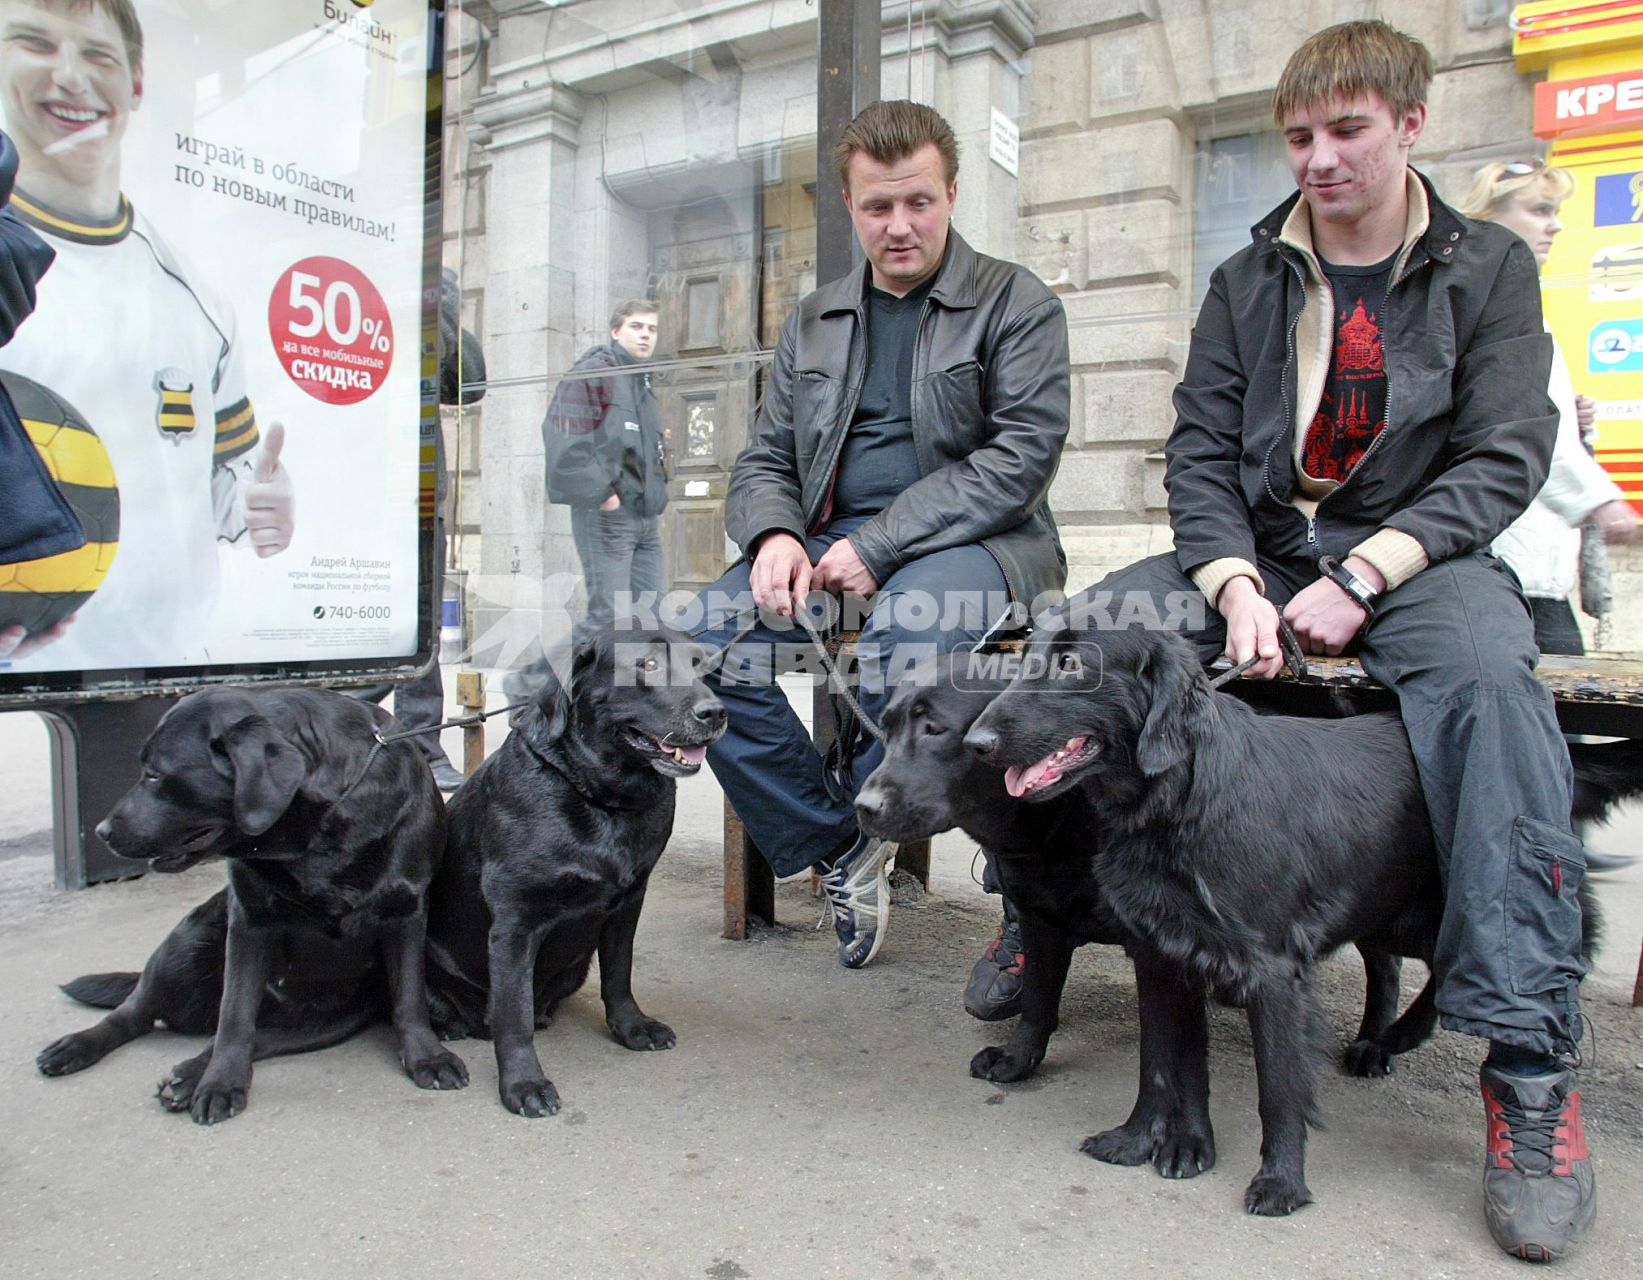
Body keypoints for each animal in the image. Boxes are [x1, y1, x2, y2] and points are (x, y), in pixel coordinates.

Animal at [33, 690, 469, 1123]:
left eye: (155, 774)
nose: (102, 831)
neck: (318, 833)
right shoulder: (248, 920)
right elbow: (235, 1012)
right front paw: (221, 1083)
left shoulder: (406, 910)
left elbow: (409, 998)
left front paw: (427, 1057)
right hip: (185, 947)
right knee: (136, 1012)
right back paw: (79, 1047)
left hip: (333, 1019)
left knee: (256, 1038)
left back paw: (187, 1075)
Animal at [423, 624, 726, 1117]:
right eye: (648, 664)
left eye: (700, 664)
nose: (715, 712)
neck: (602, 800)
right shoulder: (515, 921)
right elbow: (513, 1013)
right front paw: (523, 1083)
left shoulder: (628, 902)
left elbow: (619, 975)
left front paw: (631, 1027)